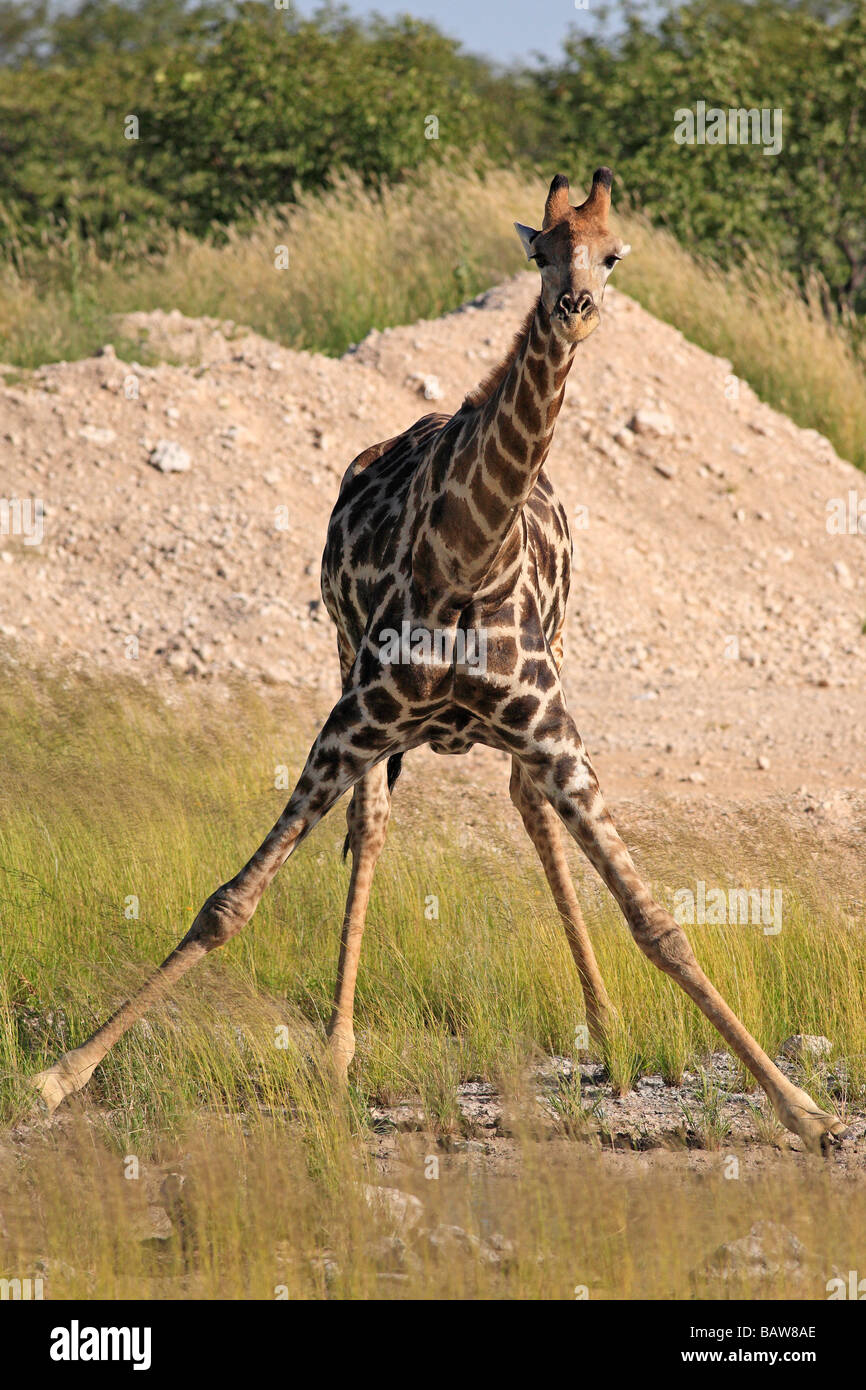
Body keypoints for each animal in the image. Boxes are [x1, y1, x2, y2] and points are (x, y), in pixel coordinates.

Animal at [30, 170, 850, 1150]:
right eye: (540, 251)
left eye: (612, 254)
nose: (574, 308)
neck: (471, 555)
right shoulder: (355, 717)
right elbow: (231, 899)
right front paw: (60, 1075)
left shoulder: (553, 728)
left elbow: (657, 921)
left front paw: (806, 1111)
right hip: (348, 672)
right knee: (373, 825)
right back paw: (338, 1052)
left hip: (544, 678)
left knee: (526, 809)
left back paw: (606, 1029)